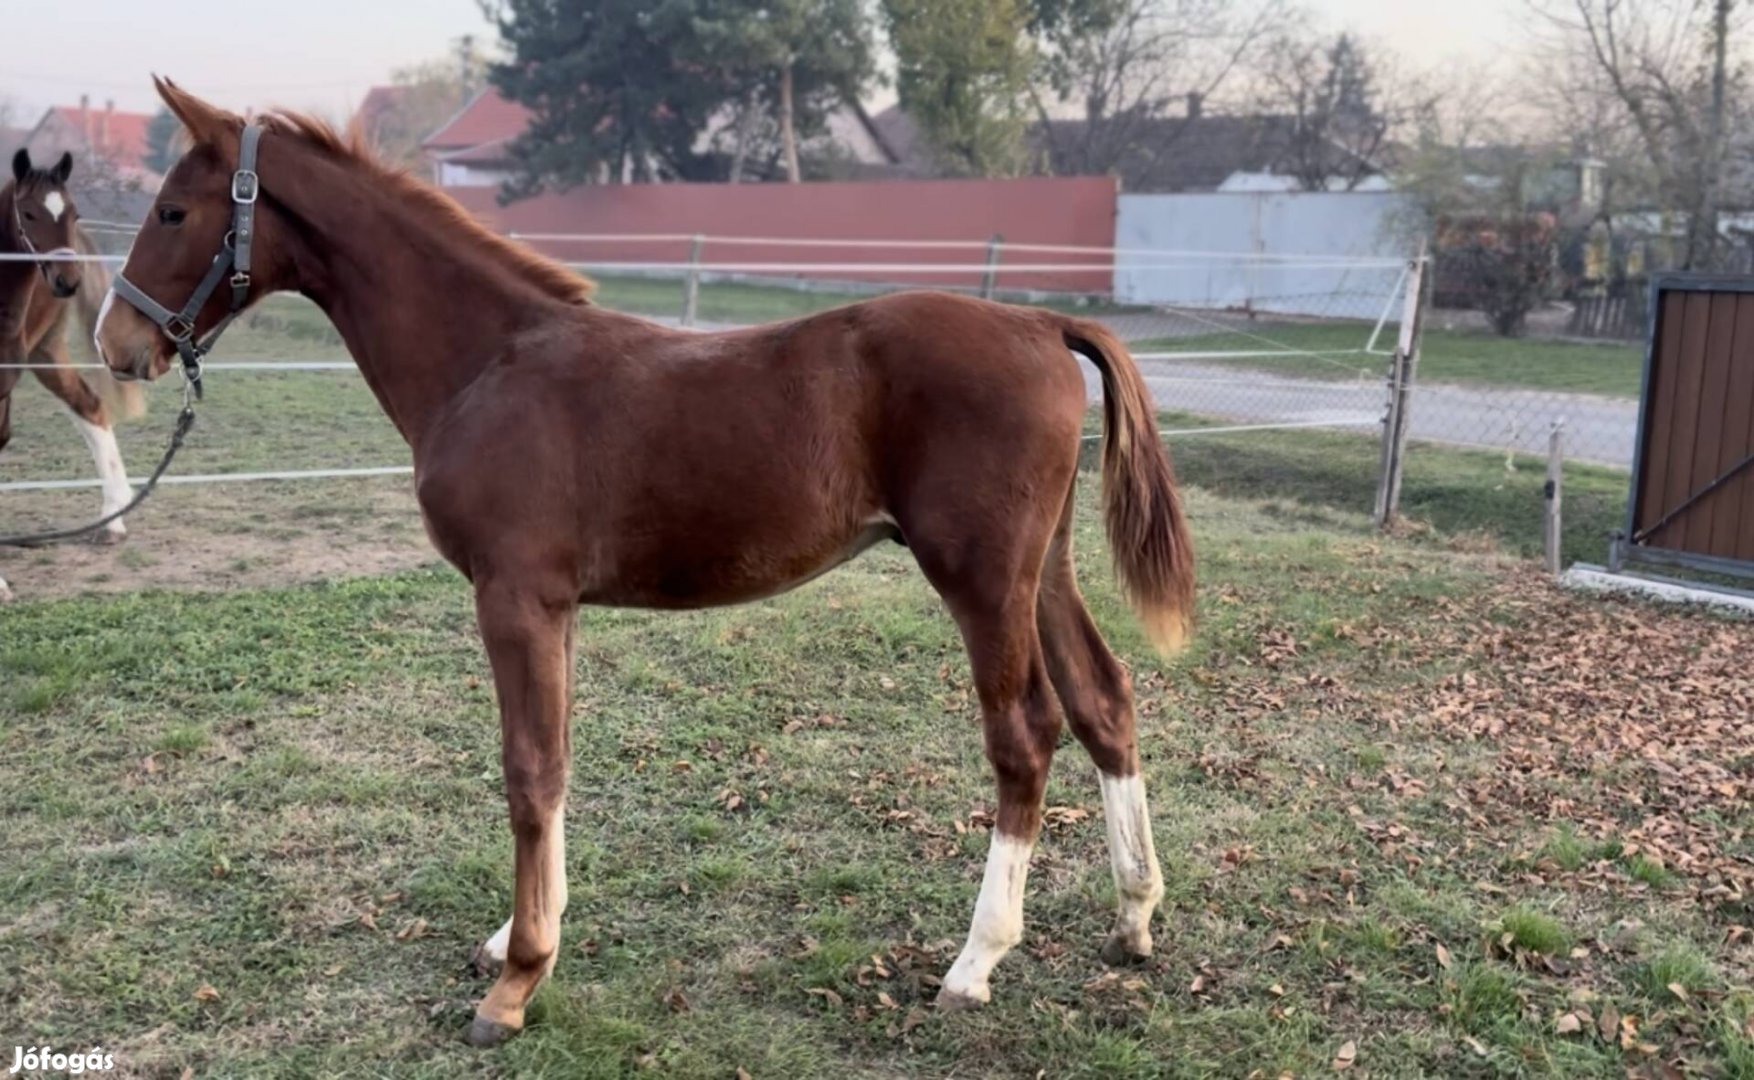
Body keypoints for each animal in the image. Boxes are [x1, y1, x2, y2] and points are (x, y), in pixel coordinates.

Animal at [96, 80, 1192, 1044]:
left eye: (172, 208)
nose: (116, 343)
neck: (487, 362)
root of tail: (1042, 322)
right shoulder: (557, 607)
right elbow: (556, 760)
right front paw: (521, 933)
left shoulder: (514, 598)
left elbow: (528, 770)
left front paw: (515, 983)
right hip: (1041, 569)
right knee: (1104, 700)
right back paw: (1133, 915)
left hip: (979, 576)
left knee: (1025, 734)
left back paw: (975, 962)